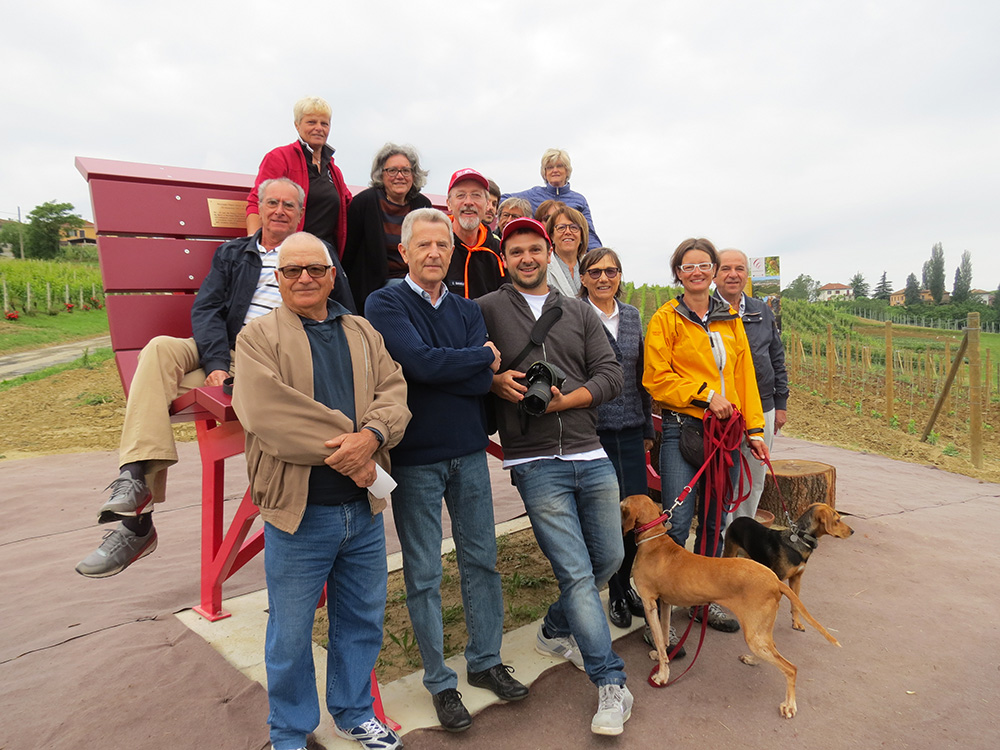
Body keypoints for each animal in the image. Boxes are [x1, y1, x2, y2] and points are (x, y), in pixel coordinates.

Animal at [620, 496, 840, 720]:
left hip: (754, 634)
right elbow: (663, 636)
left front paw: (662, 675)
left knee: (791, 668)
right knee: (774, 648)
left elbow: (658, 638)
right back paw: (752, 660)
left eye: (621, 506)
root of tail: (775, 580)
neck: (653, 539)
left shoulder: (649, 603)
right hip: (759, 631)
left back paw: (789, 705)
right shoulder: (664, 602)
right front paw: (661, 655)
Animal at [724, 506, 856, 636]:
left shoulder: (796, 578)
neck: (800, 540)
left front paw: (796, 623)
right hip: (730, 552)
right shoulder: (779, 579)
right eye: (837, 520)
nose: (852, 531)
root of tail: (739, 518)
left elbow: (796, 604)